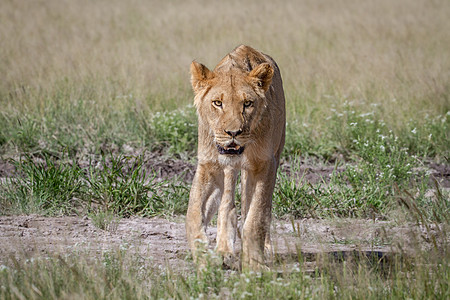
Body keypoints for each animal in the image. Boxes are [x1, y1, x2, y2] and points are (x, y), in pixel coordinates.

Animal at [185, 44, 284, 270]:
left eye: (247, 103)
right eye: (217, 103)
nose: (233, 133)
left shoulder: (265, 164)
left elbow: (256, 217)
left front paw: (255, 264)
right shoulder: (208, 165)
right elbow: (193, 213)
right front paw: (203, 256)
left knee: (256, 208)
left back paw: (264, 249)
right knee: (227, 206)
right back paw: (224, 251)